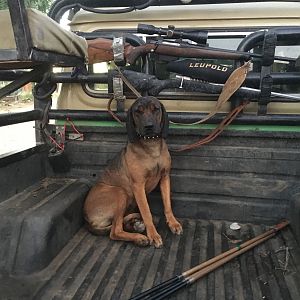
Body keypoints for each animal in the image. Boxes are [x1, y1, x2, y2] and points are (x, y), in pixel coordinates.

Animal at [84, 96, 183, 248]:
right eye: (138, 111)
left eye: (156, 109)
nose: (149, 126)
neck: (151, 145)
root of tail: (86, 218)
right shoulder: (138, 186)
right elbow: (146, 212)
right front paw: (153, 235)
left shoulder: (165, 178)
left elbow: (167, 205)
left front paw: (173, 223)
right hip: (119, 192)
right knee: (115, 231)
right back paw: (139, 237)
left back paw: (134, 225)